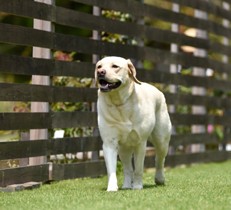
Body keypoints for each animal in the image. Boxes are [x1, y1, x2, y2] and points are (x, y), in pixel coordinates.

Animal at [94, 56, 171, 191]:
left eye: (115, 66)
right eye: (99, 66)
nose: (100, 72)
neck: (119, 102)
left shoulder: (140, 143)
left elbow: (139, 168)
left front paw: (137, 186)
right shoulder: (109, 143)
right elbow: (111, 170)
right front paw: (112, 187)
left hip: (162, 140)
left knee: (159, 159)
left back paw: (159, 179)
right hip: (124, 148)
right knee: (127, 168)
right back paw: (126, 185)